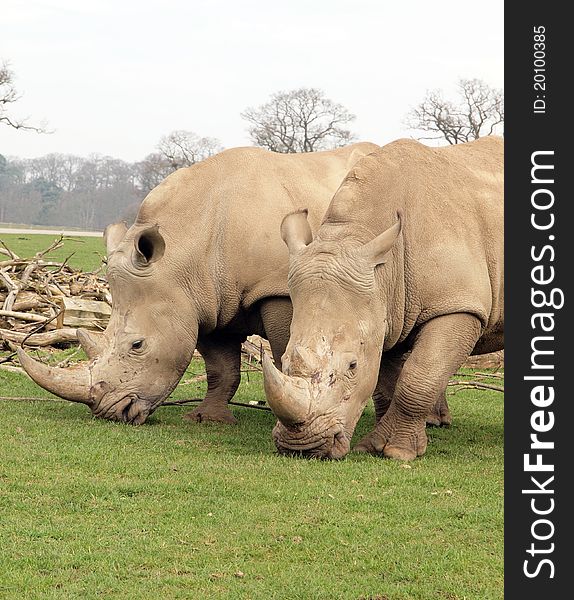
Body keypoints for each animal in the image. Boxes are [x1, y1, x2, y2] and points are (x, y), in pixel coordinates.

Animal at [18, 141, 378, 424]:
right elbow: (221, 368)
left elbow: (284, 352)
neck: (183, 251)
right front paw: (208, 419)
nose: (111, 413)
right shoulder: (205, 299)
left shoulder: (275, 289)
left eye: (138, 345)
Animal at [264, 138, 506, 462]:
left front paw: (397, 452)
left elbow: (418, 377)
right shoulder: (387, 311)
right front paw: (375, 445)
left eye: (352, 366)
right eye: (285, 360)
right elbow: (387, 381)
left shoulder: (458, 305)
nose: (302, 447)